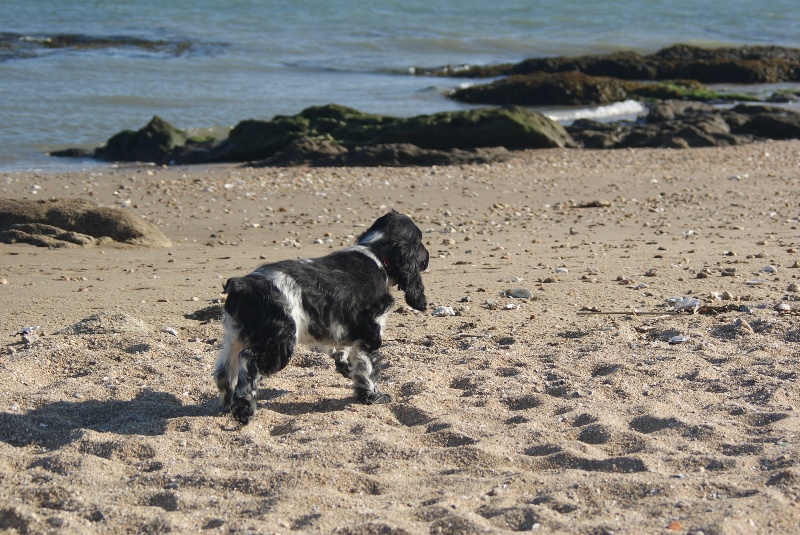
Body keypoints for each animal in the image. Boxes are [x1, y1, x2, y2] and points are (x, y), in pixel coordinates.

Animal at [214, 211, 429, 424]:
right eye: (420, 242)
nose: (428, 258)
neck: (376, 252)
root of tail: (243, 285)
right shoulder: (370, 334)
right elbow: (369, 369)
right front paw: (374, 397)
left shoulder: (342, 328)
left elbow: (345, 354)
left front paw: (348, 370)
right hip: (279, 344)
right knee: (248, 361)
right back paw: (244, 408)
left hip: (236, 337)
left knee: (224, 370)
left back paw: (228, 401)